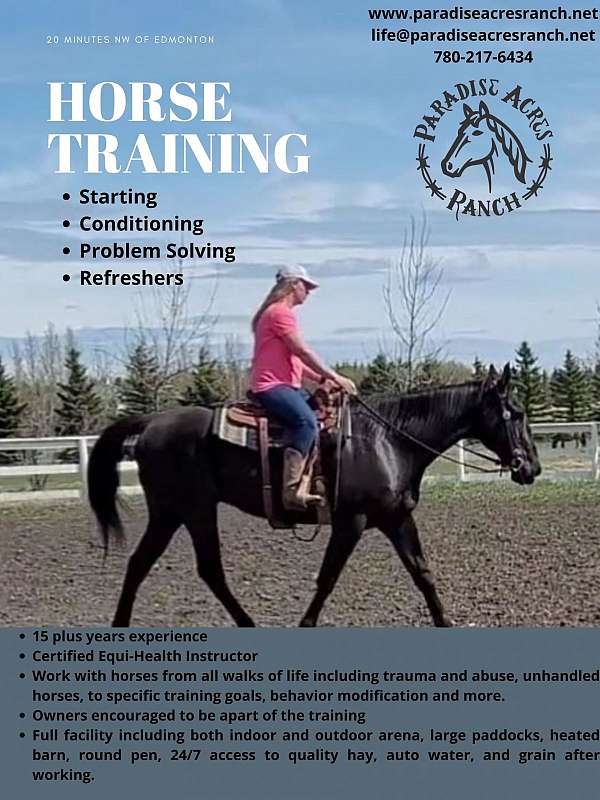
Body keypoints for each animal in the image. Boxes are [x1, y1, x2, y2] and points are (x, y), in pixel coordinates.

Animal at [90, 364, 544, 632]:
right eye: (517, 413)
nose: (532, 468)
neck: (389, 439)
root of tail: (153, 423)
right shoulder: (351, 522)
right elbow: (327, 579)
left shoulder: (396, 518)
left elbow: (422, 573)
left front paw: (445, 621)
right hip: (193, 510)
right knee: (205, 570)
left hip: (170, 514)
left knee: (141, 564)